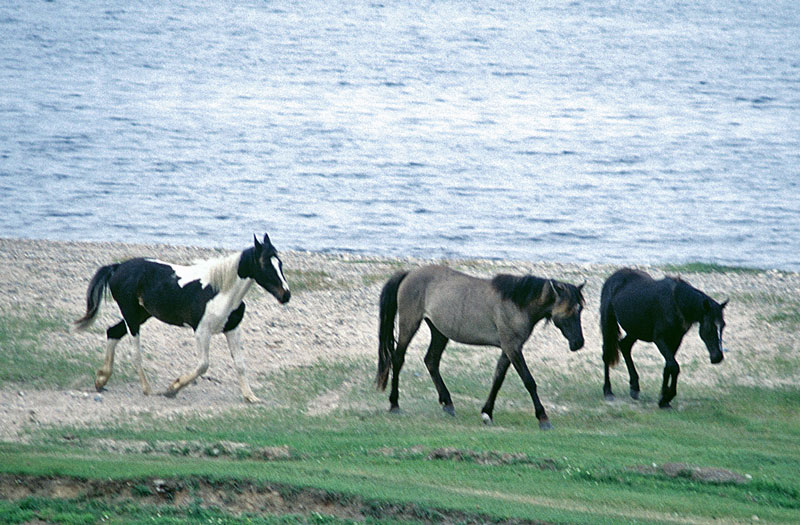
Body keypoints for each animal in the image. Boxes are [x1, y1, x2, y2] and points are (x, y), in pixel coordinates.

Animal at [75, 233, 290, 402]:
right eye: (265, 264)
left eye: (279, 263)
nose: (286, 295)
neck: (219, 291)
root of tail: (117, 268)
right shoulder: (201, 331)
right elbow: (203, 365)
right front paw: (173, 389)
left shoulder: (232, 328)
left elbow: (240, 364)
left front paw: (250, 396)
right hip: (131, 316)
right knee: (135, 352)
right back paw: (148, 389)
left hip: (141, 315)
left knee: (112, 332)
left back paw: (101, 380)